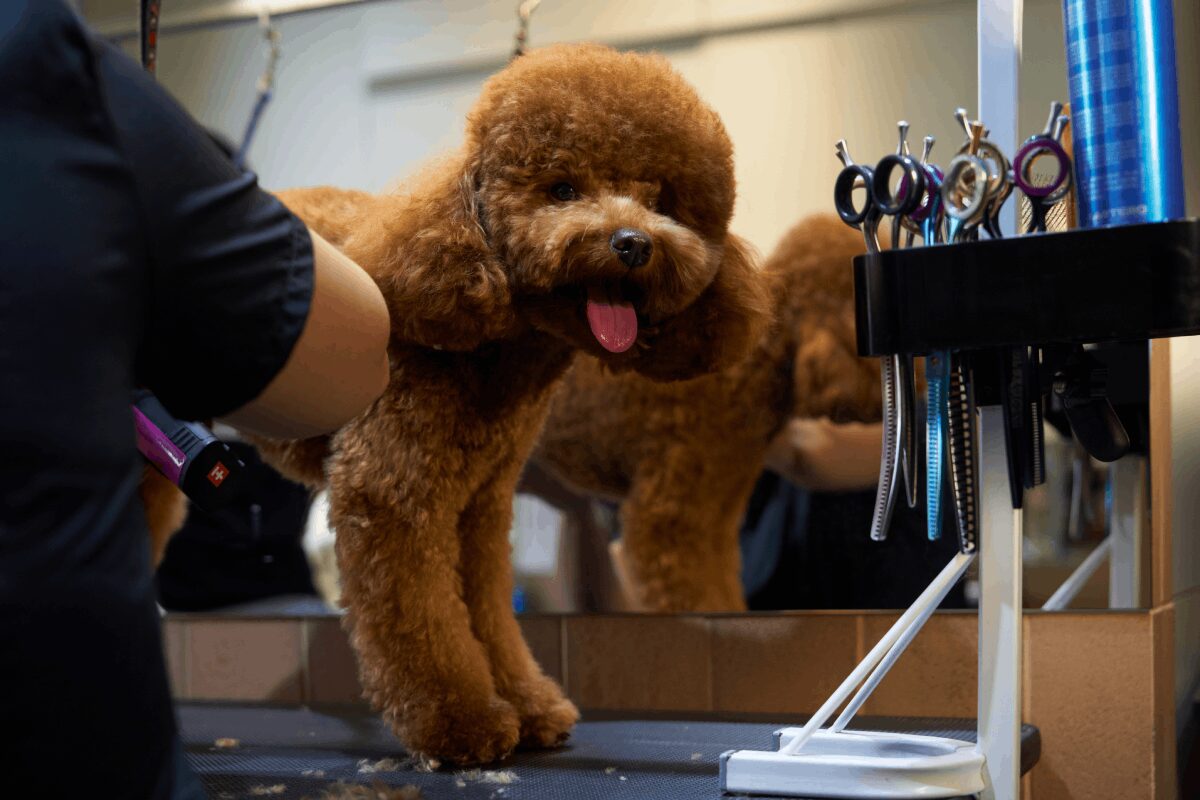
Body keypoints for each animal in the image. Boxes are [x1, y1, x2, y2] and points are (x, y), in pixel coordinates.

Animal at [244, 42, 768, 762]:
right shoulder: (389, 494)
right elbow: (423, 620)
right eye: (562, 188)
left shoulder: (481, 504)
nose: (633, 242)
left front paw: (527, 705)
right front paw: (459, 722)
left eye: (659, 199)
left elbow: (486, 614)